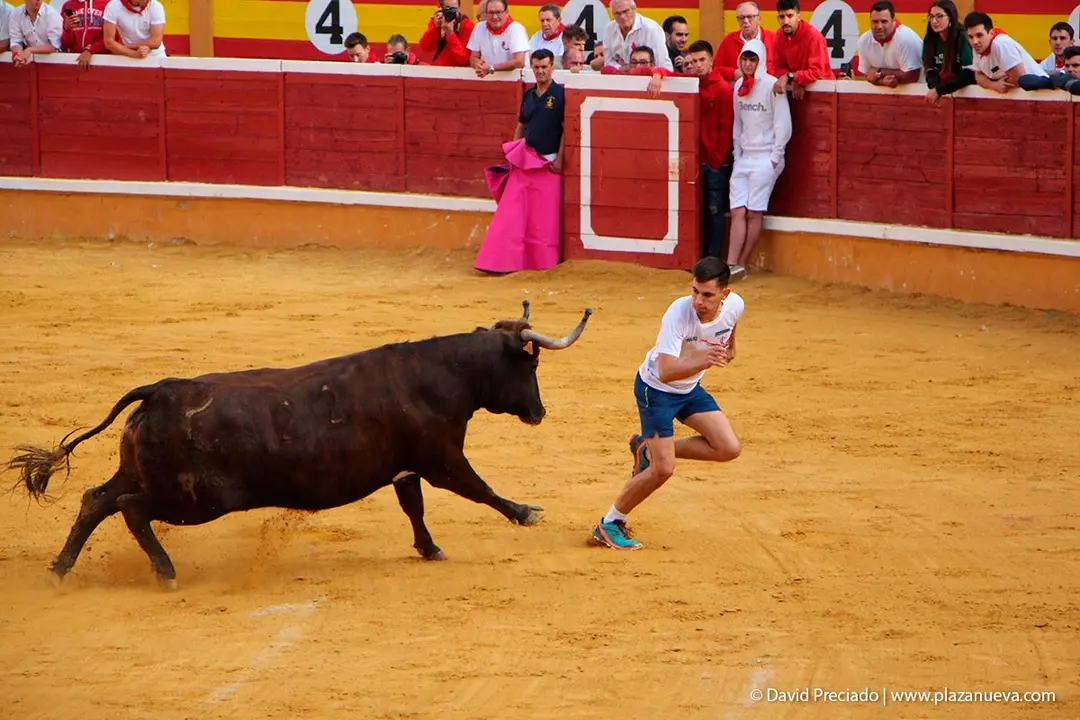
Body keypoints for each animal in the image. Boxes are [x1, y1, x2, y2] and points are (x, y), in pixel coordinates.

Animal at [5, 300, 592, 590]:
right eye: (531, 367)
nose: (539, 412)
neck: (443, 374)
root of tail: (160, 390)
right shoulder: (441, 458)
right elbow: (479, 489)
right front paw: (526, 512)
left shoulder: (407, 467)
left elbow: (415, 507)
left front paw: (430, 549)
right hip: (198, 498)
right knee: (130, 508)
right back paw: (165, 572)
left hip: (145, 472)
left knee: (97, 500)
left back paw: (60, 570)